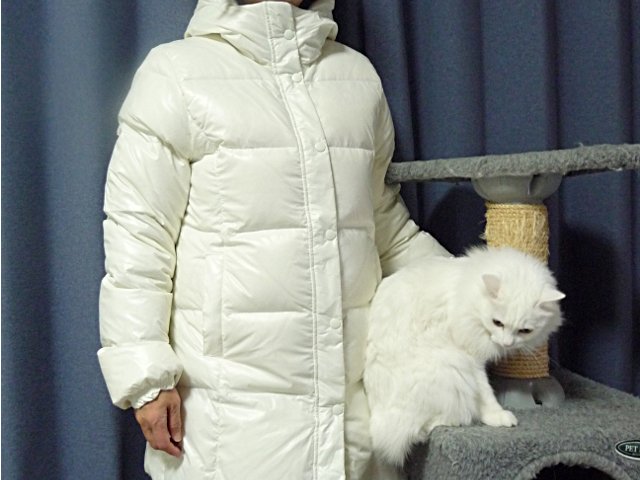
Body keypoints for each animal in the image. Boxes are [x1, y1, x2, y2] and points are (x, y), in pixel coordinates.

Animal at [363, 245, 565, 466]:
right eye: (497, 323)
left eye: (525, 331)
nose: (506, 344)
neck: (466, 292)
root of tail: (379, 419)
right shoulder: (471, 359)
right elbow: (486, 393)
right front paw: (498, 416)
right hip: (452, 370)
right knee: (422, 429)